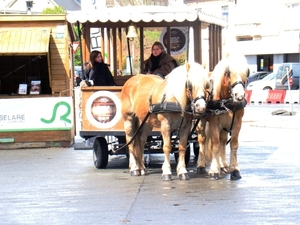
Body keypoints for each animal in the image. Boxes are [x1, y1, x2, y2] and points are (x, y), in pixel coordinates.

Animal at [195, 48, 248, 180]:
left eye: (246, 71)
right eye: (228, 72)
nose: (239, 95)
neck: (226, 101)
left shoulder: (237, 122)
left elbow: (233, 144)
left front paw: (234, 169)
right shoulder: (214, 123)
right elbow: (215, 144)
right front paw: (214, 170)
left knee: (223, 141)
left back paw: (223, 165)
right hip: (201, 122)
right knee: (202, 140)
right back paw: (201, 165)